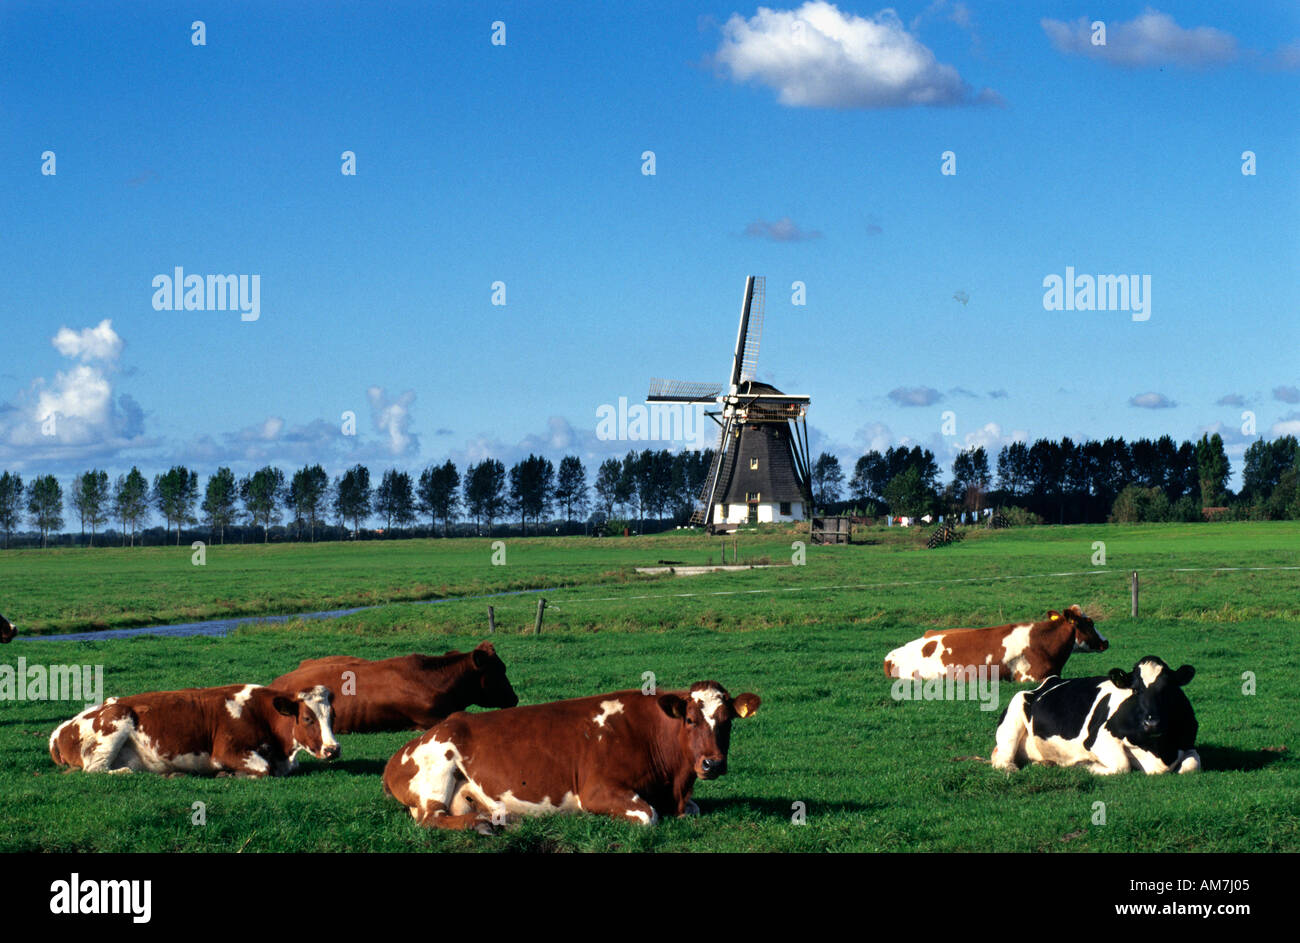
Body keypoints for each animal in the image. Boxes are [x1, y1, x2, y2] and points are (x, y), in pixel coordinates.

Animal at [49, 686, 340, 780]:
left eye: (333, 716)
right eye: (307, 718)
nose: (333, 749)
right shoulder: (226, 751)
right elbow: (264, 769)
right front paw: (229, 775)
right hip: (116, 720)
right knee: (96, 769)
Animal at [379, 681, 759, 827]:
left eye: (727, 721)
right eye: (691, 719)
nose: (712, 763)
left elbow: (694, 809)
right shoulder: (597, 790)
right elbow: (648, 815)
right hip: (438, 772)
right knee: (432, 819)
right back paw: (484, 824)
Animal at [993, 655, 1196, 770]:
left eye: (1169, 689)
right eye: (1135, 690)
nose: (1152, 723)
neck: (1159, 751)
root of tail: (1049, 681)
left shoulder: (1188, 743)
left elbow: (1191, 765)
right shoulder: (1096, 740)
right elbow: (1121, 766)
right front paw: (1086, 765)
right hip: (1013, 717)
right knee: (1001, 759)